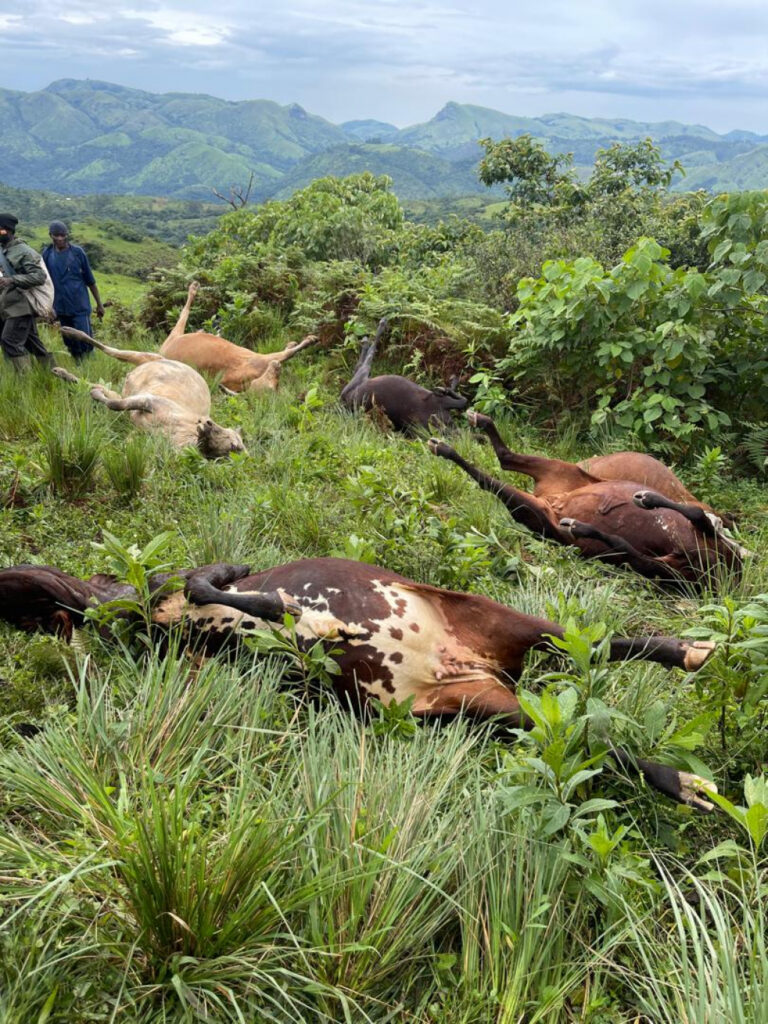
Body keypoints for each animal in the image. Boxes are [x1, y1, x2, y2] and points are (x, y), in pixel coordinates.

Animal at [0, 557, 720, 811]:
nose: (47, 610)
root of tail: (477, 669)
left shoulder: (208, 587)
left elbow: (225, 587)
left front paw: (303, 614)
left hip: (503, 620)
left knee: (595, 643)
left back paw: (691, 652)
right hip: (489, 710)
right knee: (584, 738)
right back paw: (685, 780)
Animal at [54, 327, 244, 456]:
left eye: (234, 448)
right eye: (233, 442)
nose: (207, 423)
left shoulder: (138, 431)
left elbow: (115, 408)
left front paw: (95, 394)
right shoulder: (151, 400)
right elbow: (116, 405)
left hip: (129, 383)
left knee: (92, 383)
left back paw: (62, 372)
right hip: (145, 356)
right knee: (110, 350)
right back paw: (70, 332)